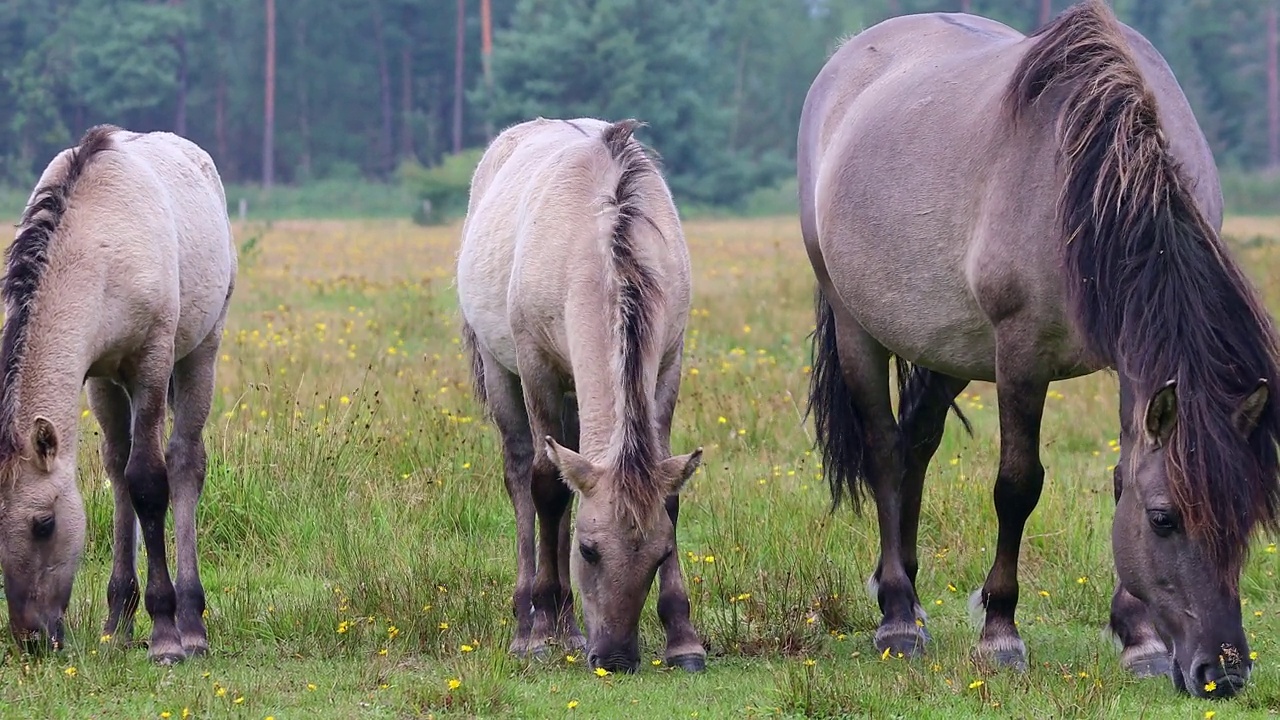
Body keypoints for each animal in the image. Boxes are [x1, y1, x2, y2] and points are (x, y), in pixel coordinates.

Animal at [0, 124, 238, 661]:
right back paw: (122, 621)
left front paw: (165, 632)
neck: (98, 249)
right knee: (120, 464)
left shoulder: (149, 363)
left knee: (185, 463)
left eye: (44, 524)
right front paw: (119, 620)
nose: (32, 639)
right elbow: (118, 477)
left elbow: (148, 482)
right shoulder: (101, 377)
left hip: (201, 353)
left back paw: (192, 622)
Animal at [455, 114, 706, 671]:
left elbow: (666, 496)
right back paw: (532, 619)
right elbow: (546, 487)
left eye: (660, 555)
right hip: (502, 372)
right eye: (589, 550)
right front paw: (540, 627)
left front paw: (683, 638)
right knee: (521, 477)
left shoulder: (668, 366)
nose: (616, 656)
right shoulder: (538, 370)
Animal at [798, 0, 1280, 696]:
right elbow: (1017, 487)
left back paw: (909, 594)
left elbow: (1121, 473)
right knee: (886, 451)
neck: (1091, 181)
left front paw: (1138, 639)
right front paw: (1000, 632)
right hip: (856, 324)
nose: (1223, 672)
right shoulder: (1021, 354)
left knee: (916, 443)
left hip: (949, 344)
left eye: (1249, 519)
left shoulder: (1129, 363)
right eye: (1163, 518)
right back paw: (897, 618)